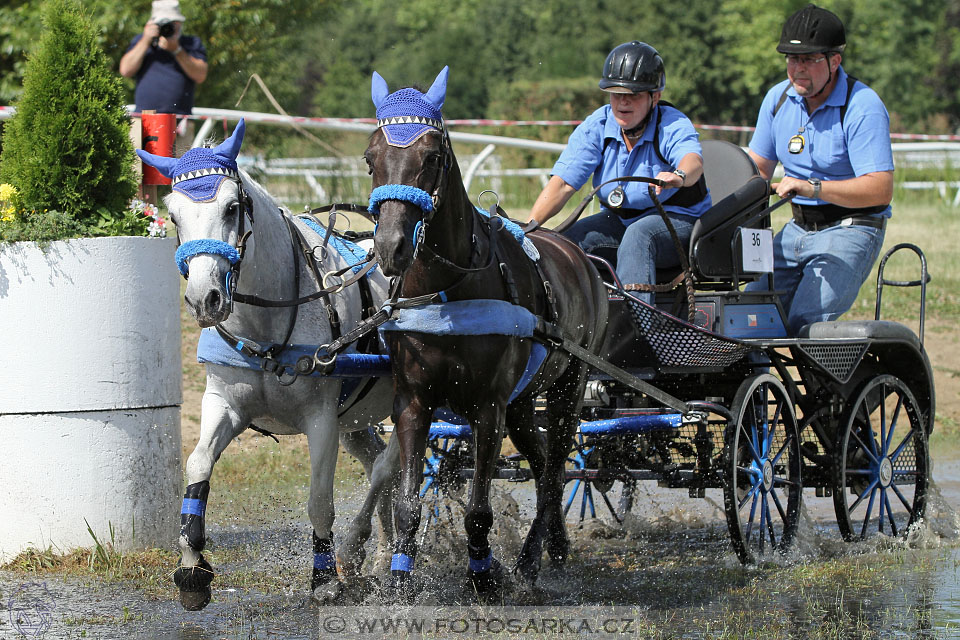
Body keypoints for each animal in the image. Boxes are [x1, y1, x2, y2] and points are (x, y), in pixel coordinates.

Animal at [138, 119, 398, 608]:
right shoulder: (224, 404)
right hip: (358, 418)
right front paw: (191, 567)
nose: (204, 299)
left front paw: (323, 578)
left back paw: (360, 551)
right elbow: (197, 467)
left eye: (232, 207)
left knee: (393, 466)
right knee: (380, 463)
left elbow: (319, 500)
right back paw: (382, 554)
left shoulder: (321, 419)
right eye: (174, 216)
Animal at [366, 67, 608, 592]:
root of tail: (580, 255)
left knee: (555, 470)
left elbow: (478, 509)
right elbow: (407, 503)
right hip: (522, 401)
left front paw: (483, 576)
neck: (446, 293)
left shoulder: (488, 406)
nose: (391, 247)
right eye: (371, 158)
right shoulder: (413, 401)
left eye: (432, 157)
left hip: (568, 386)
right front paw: (399, 579)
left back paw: (531, 561)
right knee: (542, 462)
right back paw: (555, 546)